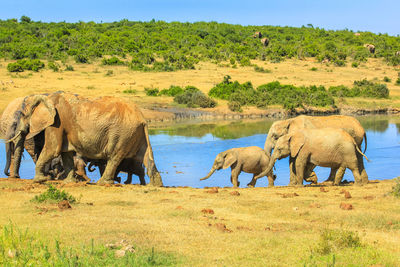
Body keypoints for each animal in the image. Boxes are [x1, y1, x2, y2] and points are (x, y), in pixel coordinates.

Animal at [6, 92, 162, 186]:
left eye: (21, 115)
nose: (15, 177)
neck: (46, 96)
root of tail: (142, 118)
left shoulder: (56, 123)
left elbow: (52, 149)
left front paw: (40, 180)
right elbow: (66, 154)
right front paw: (69, 182)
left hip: (122, 133)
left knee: (114, 157)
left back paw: (102, 182)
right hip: (134, 133)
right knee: (145, 156)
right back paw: (155, 185)